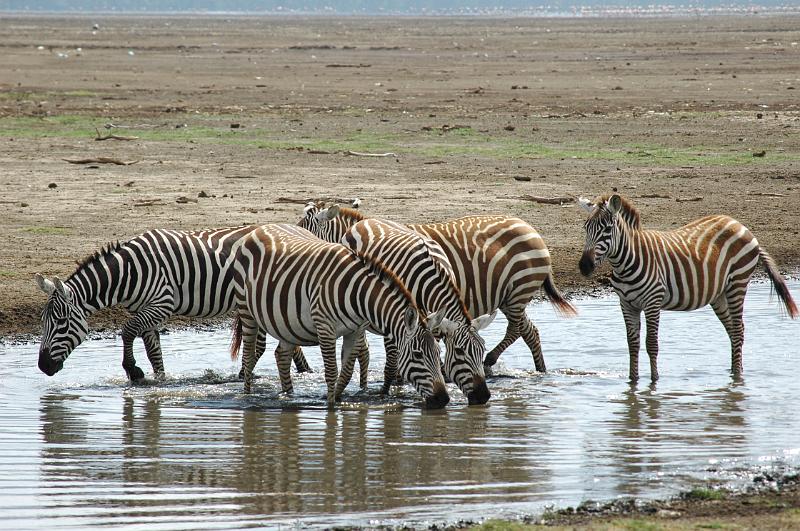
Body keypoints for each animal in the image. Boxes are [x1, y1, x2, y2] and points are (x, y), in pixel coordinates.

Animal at [34, 226, 311, 380]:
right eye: (43, 321)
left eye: (61, 322)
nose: (43, 366)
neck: (129, 272)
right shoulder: (145, 309)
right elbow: (153, 349)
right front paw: (159, 378)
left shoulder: (162, 303)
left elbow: (127, 331)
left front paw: (132, 370)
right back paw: (303, 370)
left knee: (261, 345)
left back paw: (243, 376)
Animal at [228, 223, 450, 408]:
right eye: (417, 355)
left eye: (438, 352)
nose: (443, 399)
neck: (358, 294)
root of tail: (260, 227)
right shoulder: (325, 327)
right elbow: (332, 372)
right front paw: (330, 407)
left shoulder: (355, 330)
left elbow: (346, 373)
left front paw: (338, 399)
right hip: (247, 312)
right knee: (248, 356)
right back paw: (247, 397)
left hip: (286, 323)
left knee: (281, 356)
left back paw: (289, 397)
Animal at [298, 202, 577, 374]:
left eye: (305, 230)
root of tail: (530, 228)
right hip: (511, 297)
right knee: (528, 330)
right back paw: (536, 370)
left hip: (518, 291)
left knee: (520, 328)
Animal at [335, 218, 496, 404]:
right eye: (460, 351)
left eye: (482, 349)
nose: (483, 397)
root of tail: (367, 220)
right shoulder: (392, 320)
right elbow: (391, 365)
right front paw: (385, 394)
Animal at [577, 193, 798, 381]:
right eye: (586, 228)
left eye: (607, 229)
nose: (584, 266)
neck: (626, 263)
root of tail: (739, 223)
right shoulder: (626, 304)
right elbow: (632, 344)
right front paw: (633, 380)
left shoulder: (653, 302)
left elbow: (651, 344)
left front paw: (654, 381)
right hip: (719, 294)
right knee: (734, 330)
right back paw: (734, 370)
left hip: (738, 283)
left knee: (737, 330)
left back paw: (737, 375)